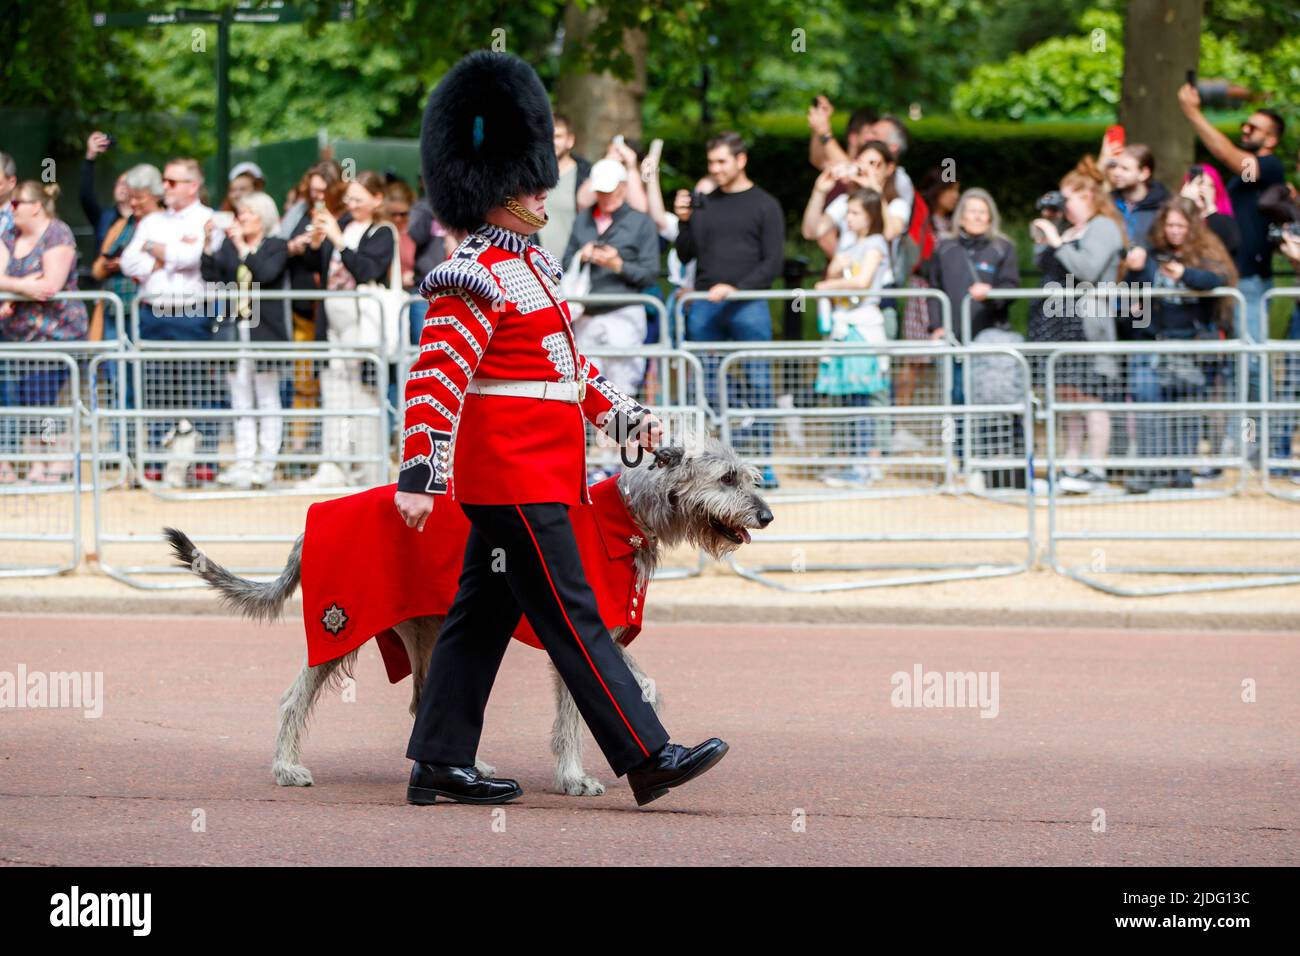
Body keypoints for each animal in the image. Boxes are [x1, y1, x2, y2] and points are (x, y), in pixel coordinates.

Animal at [162, 437, 769, 796]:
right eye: (727, 479)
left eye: (751, 477)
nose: (765, 515)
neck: (624, 519)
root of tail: (311, 521)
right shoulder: (571, 628)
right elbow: (576, 712)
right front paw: (575, 777)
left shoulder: (609, 635)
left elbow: (640, 685)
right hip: (340, 623)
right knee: (294, 697)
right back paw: (287, 768)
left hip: (428, 631)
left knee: (423, 700)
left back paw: (457, 769)